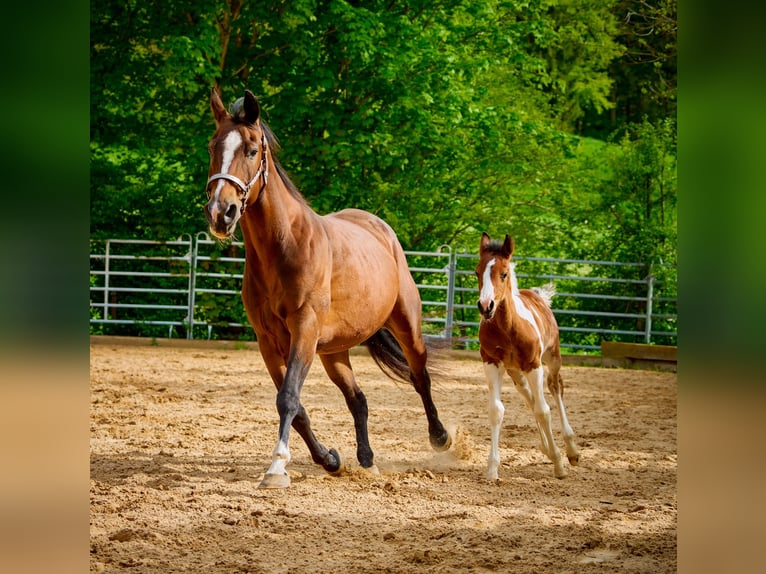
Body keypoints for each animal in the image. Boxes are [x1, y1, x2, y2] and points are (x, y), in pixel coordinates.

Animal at [203, 88, 452, 488]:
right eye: (213, 146)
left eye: (252, 150)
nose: (219, 212)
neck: (285, 245)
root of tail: (380, 229)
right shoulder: (268, 342)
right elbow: (297, 407)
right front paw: (330, 459)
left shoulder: (303, 329)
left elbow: (288, 398)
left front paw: (277, 467)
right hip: (334, 351)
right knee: (358, 399)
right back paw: (366, 460)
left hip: (405, 326)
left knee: (420, 377)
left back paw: (440, 437)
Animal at [475, 232, 580, 480]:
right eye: (477, 272)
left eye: (504, 274)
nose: (485, 306)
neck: (508, 327)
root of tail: (538, 295)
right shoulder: (491, 362)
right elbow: (496, 410)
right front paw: (492, 469)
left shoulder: (534, 364)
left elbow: (544, 410)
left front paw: (559, 465)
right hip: (516, 373)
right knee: (531, 399)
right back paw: (548, 448)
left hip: (552, 358)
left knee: (555, 388)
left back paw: (571, 450)